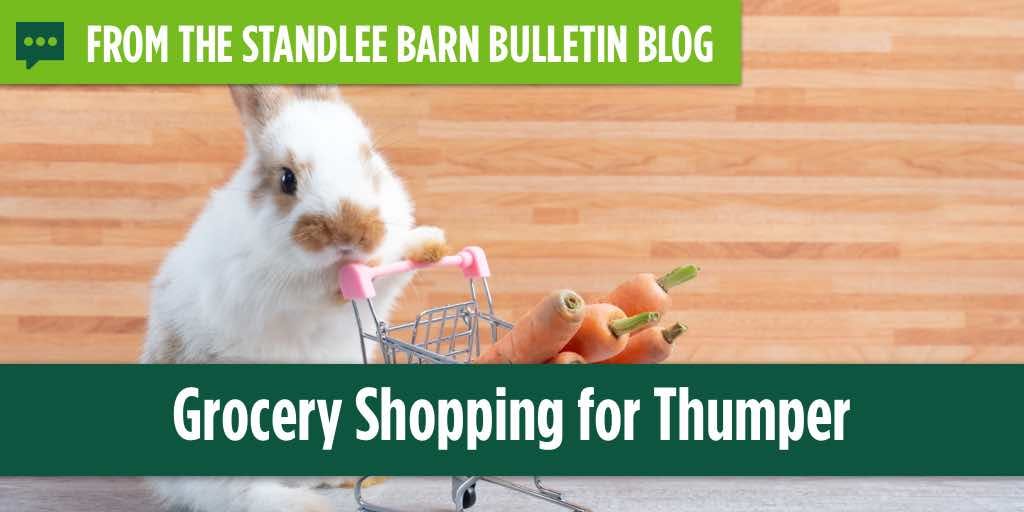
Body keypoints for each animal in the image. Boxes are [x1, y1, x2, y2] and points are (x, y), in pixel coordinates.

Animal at [141, 85, 448, 512]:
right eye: (287, 179)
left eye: (369, 159)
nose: (350, 233)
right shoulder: (258, 288)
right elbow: (311, 289)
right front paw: (341, 279)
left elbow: (390, 265)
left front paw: (429, 243)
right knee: (238, 492)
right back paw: (305, 503)